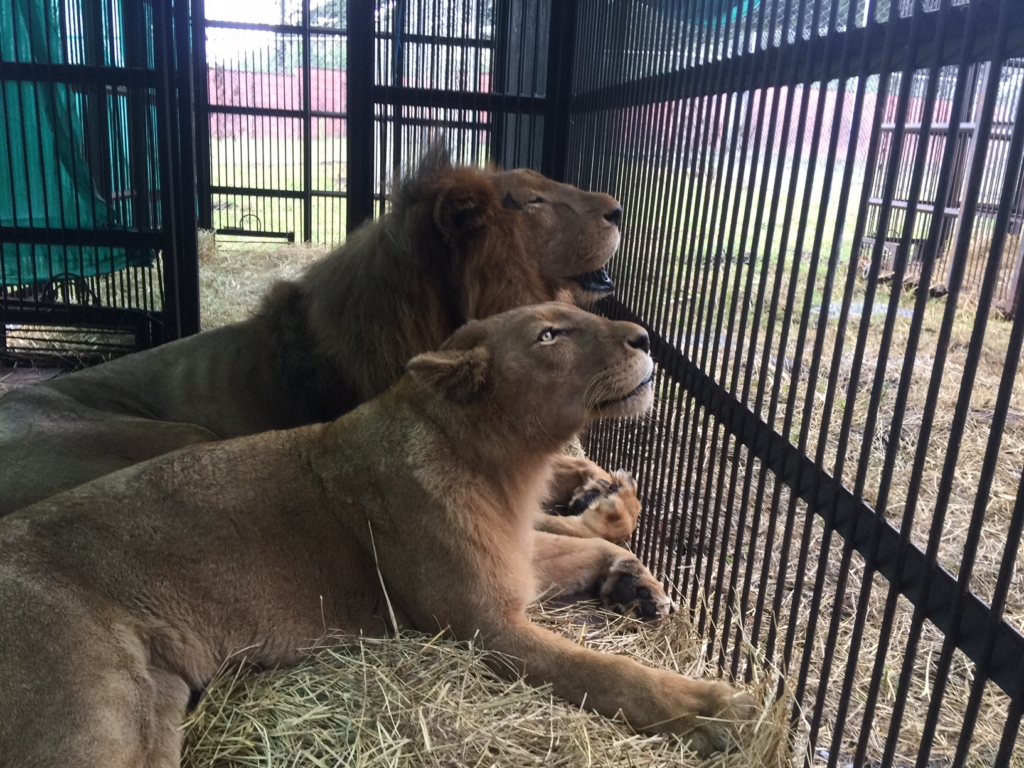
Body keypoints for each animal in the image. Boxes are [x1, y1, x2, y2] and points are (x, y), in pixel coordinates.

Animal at [0, 303, 755, 768]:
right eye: (550, 335)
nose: (645, 339)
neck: (504, 467)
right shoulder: (483, 625)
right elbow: (610, 674)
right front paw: (720, 709)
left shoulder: (512, 560)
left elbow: (593, 545)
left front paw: (633, 584)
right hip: (91, 714)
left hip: (154, 708)